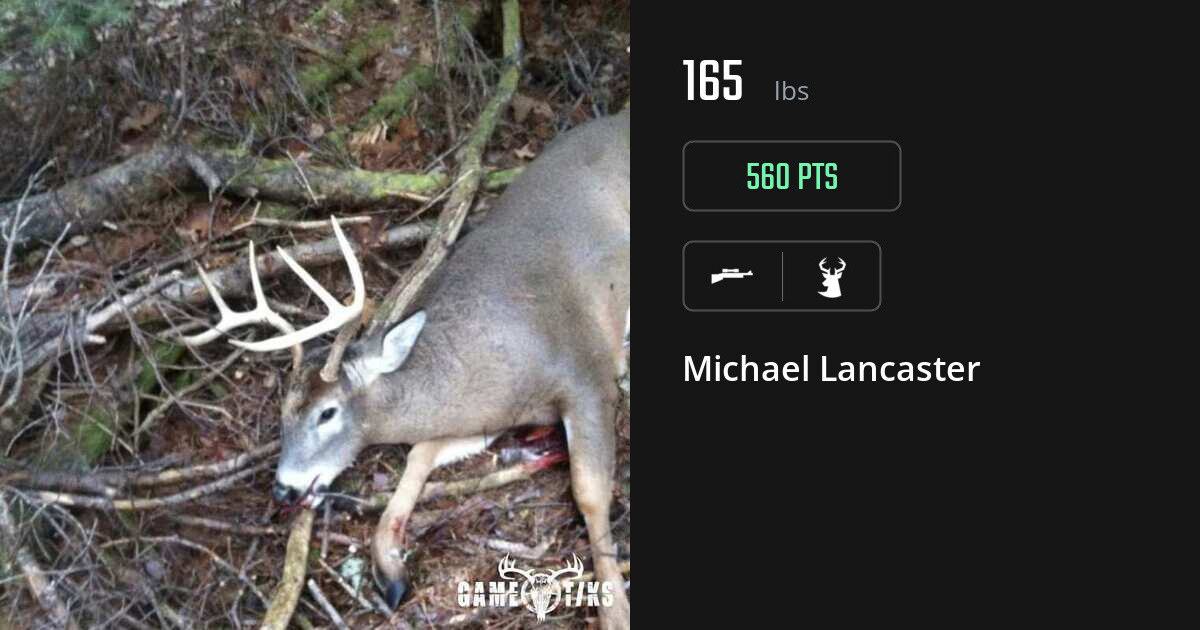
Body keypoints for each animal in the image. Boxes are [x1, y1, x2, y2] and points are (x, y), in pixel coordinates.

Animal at [180, 110, 630, 629]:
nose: (284, 489)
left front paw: (616, 610)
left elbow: (590, 491)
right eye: (282, 415)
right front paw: (390, 568)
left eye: (327, 412)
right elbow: (419, 453)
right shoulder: (490, 415)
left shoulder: (584, 369)